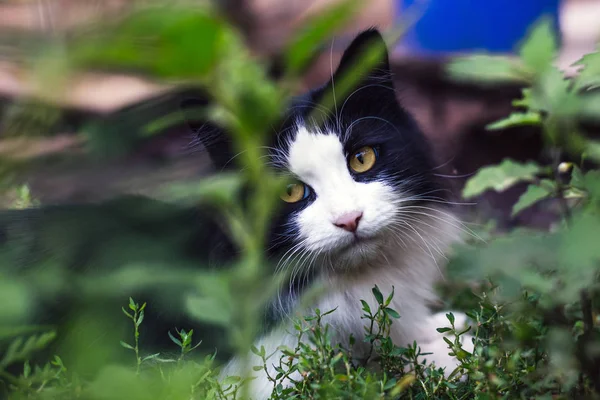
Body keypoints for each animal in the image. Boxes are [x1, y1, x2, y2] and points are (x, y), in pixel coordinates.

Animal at [183, 28, 474, 400]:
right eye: (290, 192)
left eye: (362, 159)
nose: (349, 219)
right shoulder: (267, 377)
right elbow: (365, 369)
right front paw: (451, 356)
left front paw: (440, 325)